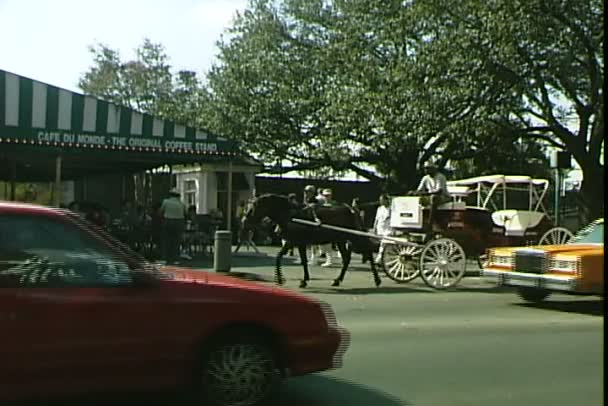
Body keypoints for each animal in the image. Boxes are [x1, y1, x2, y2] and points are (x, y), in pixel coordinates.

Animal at [243, 194, 380, 288]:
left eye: (254, 206)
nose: (245, 221)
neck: (291, 215)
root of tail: (352, 209)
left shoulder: (299, 242)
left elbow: (302, 260)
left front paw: (301, 280)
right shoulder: (292, 241)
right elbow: (280, 256)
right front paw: (281, 279)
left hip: (354, 237)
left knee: (367, 251)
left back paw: (377, 279)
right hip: (341, 239)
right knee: (347, 258)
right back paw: (337, 280)